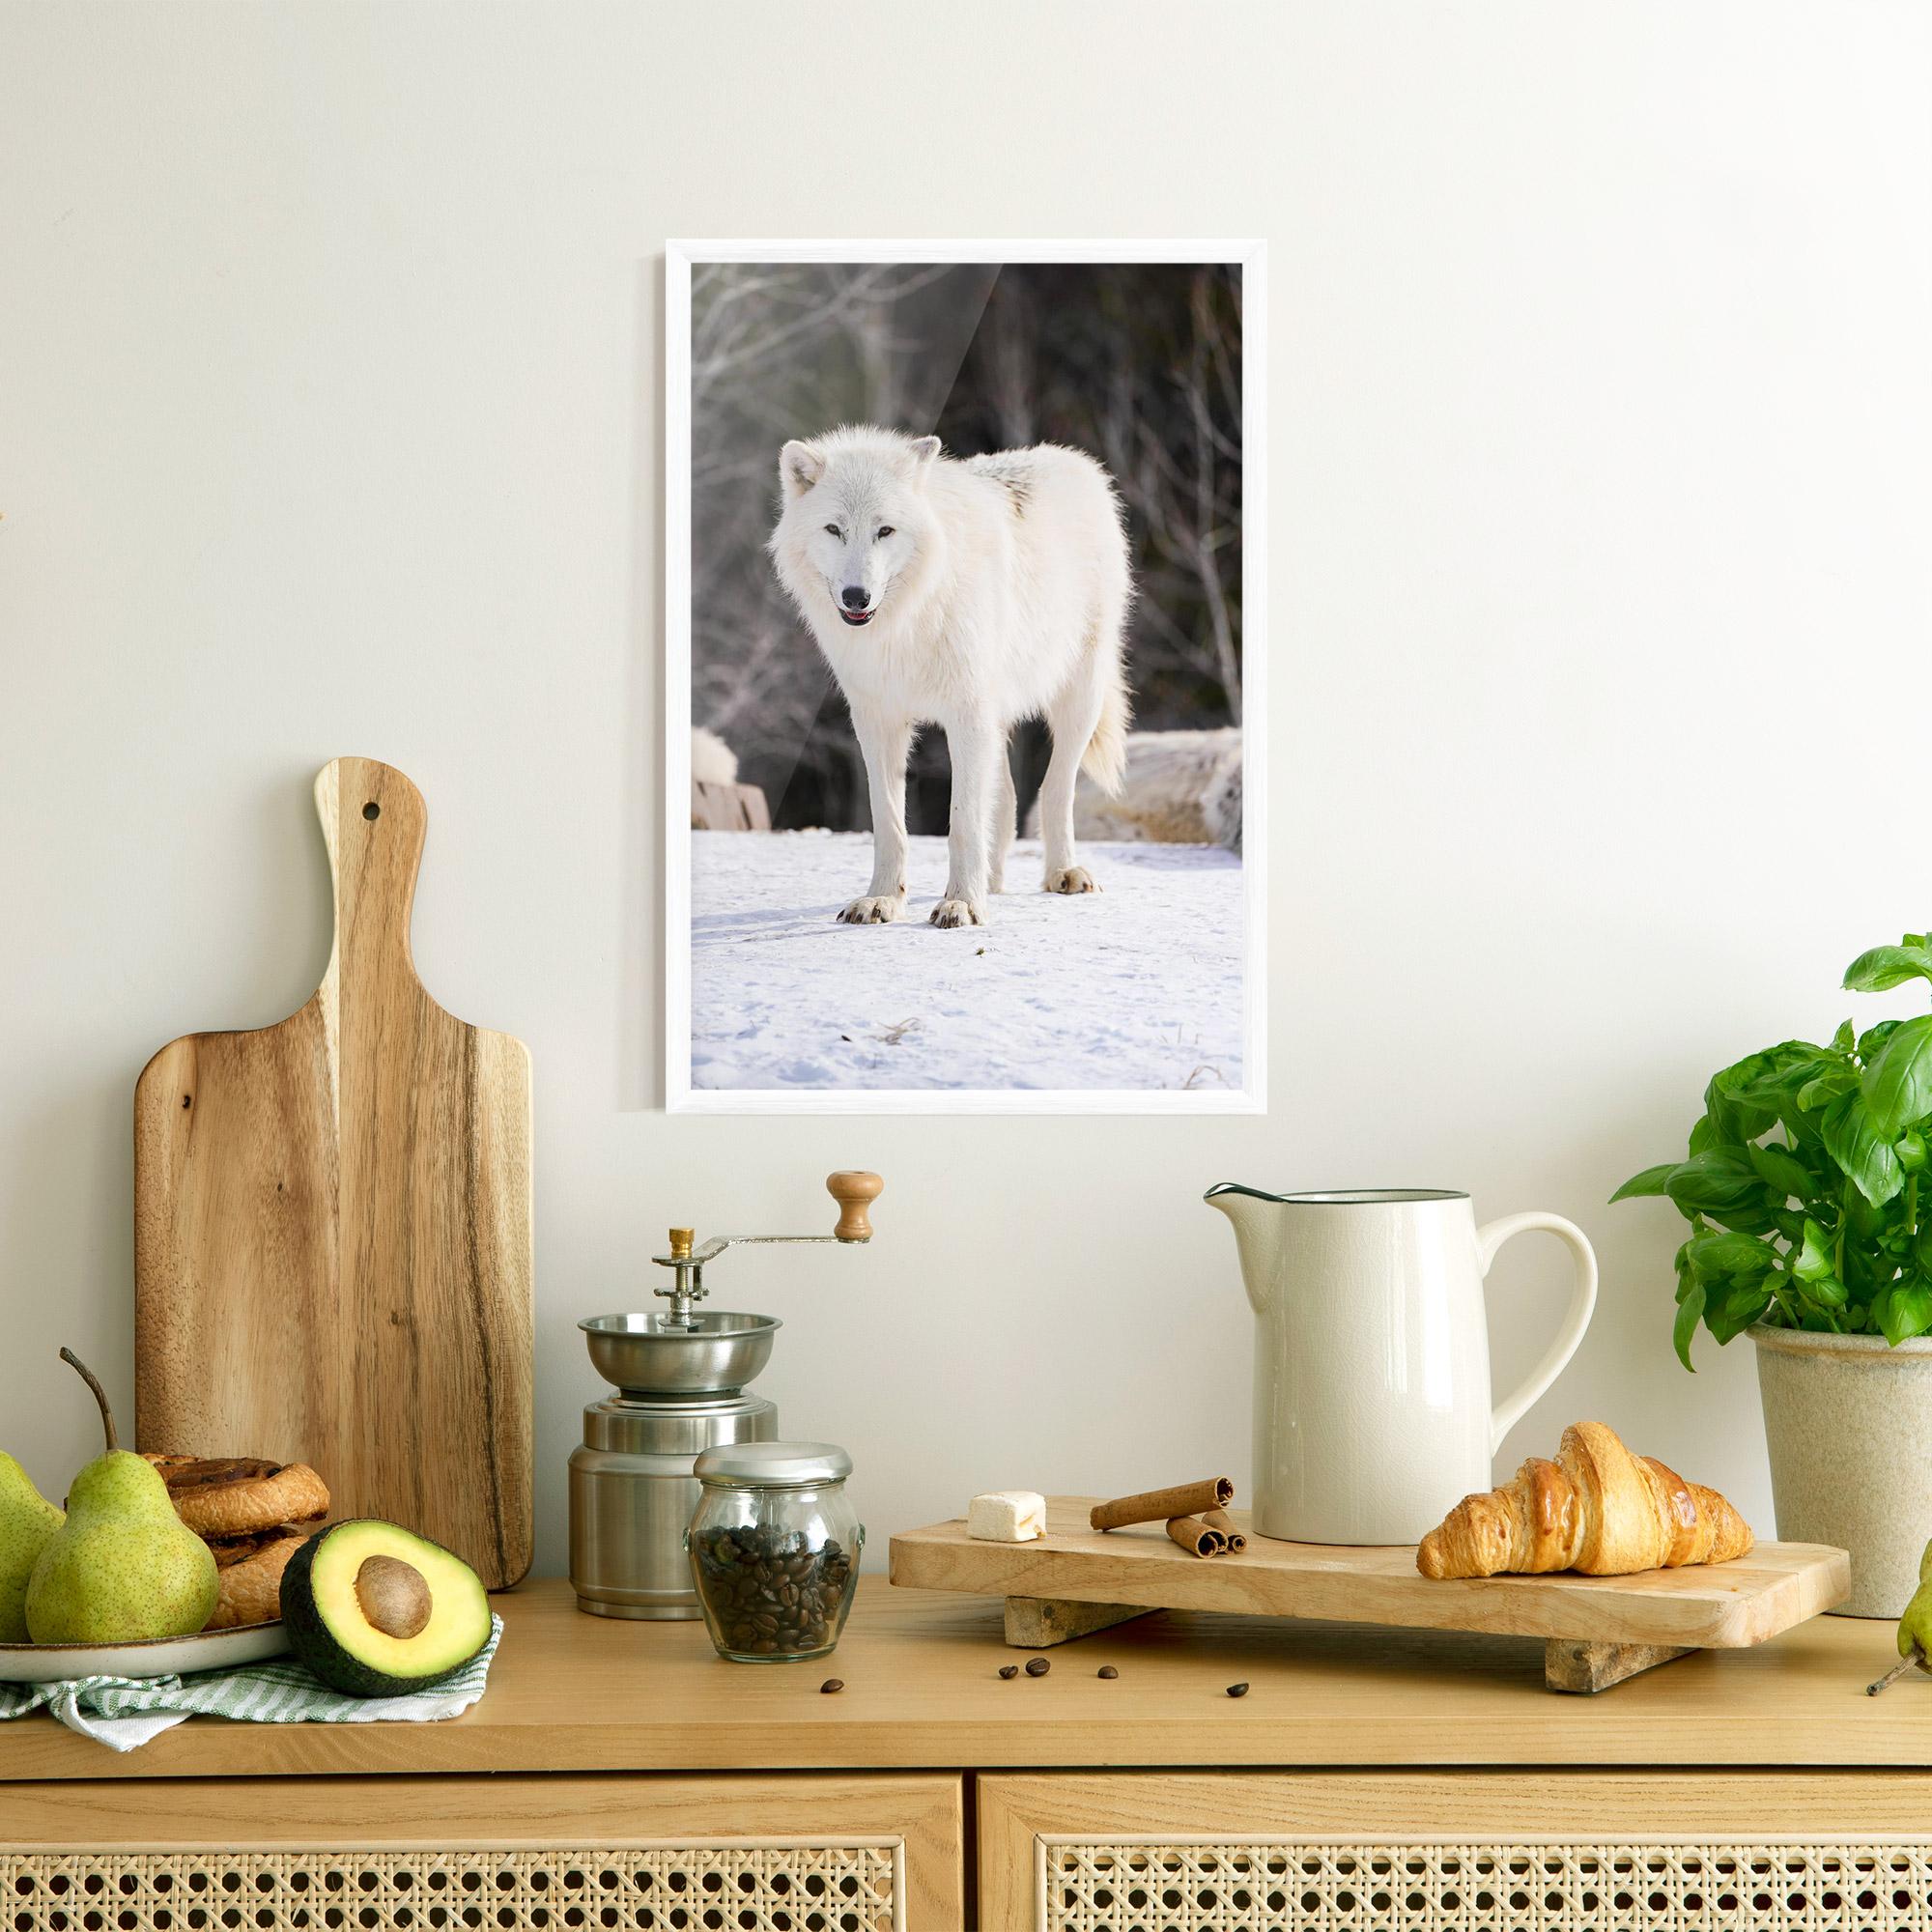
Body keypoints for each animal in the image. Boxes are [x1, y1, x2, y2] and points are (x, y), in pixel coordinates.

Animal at [767, 425, 1132, 928]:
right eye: (834, 530)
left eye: (885, 530)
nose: (856, 596)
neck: (906, 622)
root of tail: (1074, 460)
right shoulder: (876, 721)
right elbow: (889, 821)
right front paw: (883, 899)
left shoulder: (967, 715)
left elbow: (962, 821)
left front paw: (962, 903)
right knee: (1007, 798)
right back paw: (993, 882)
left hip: (1079, 699)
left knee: (1055, 788)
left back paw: (1062, 873)